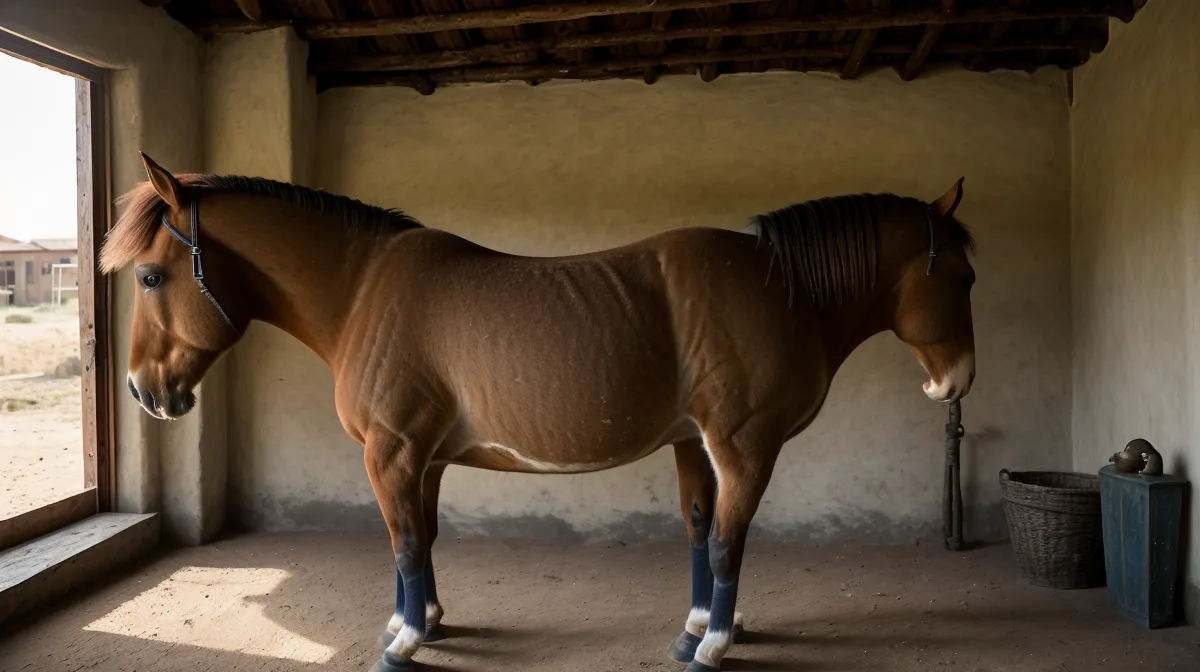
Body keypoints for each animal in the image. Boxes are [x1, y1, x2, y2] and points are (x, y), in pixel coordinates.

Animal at [101, 152, 976, 672]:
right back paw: (696, 628)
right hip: (699, 444)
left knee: (727, 539)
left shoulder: (391, 452)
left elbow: (404, 541)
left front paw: (403, 641)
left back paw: (712, 643)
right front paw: (426, 621)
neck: (362, 292)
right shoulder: (419, 456)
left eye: (148, 276)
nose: (146, 392)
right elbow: (418, 541)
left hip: (739, 445)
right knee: (706, 532)